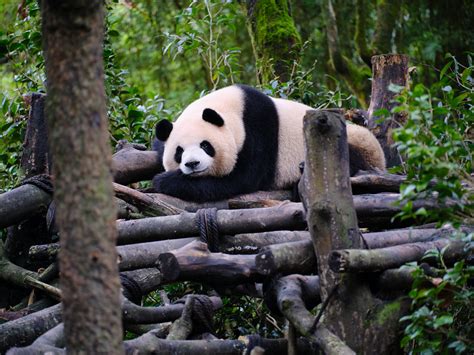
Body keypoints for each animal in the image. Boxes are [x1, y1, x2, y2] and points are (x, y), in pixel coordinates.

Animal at [152, 84, 386, 203]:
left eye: (205, 145)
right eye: (179, 152)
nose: (192, 164)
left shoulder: (257, 129)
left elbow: (240, 180)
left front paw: (163, 181)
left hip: (349, 144)